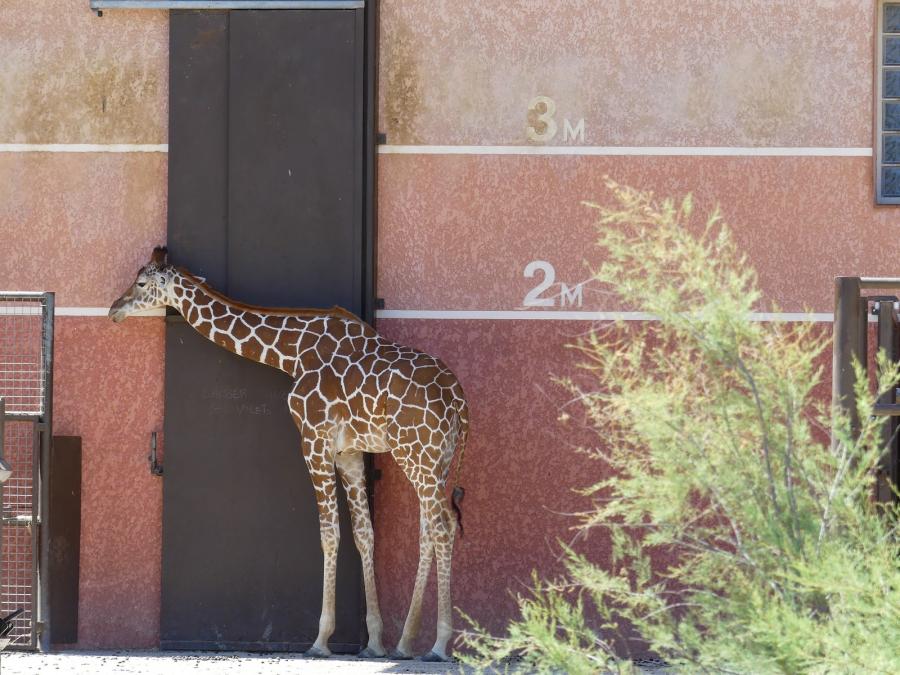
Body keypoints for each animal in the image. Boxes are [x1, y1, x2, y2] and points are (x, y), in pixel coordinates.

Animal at [109, 246, 468, 662]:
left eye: (141, 283)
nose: (114, 309)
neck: (291, 353)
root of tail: (458, 398)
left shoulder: (313, 438)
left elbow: (329, 534)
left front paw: (321, 640)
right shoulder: (349, 451)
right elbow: (364, 534)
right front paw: (375, 642)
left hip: (416, 453)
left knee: (442, 526)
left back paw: (439, 644)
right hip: (435, 459)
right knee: (430, 529)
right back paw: (407, 642)